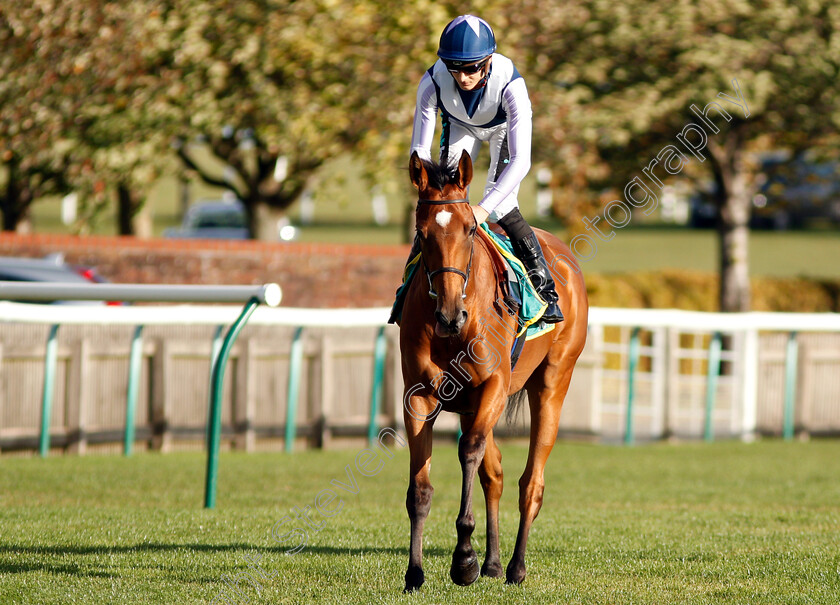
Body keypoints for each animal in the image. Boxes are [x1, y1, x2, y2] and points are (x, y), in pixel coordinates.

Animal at [398, 150, 584, 588]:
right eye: (422, 233)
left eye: (469, 229)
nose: (450, 314)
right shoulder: (418, 396)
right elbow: (420, 490)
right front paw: (415, 572)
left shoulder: (494, 387)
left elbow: (469, 451)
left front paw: (463, 558)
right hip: (471, 405)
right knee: (495, 474)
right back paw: (495, 562)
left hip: (551, 383)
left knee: (530, 482)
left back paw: (515, 566)